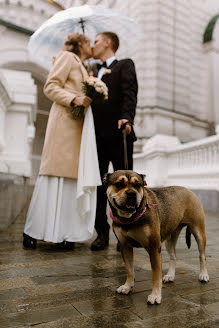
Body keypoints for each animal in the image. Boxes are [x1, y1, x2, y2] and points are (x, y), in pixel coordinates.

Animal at [103, 170, 210, 304]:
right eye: (119, 184)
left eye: (138, 185)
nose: (132, 193)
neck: (130, 217)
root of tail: (188, 190)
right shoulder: (125, 246)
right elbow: (129, 270)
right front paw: (127, 286)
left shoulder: (154, 247)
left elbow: (155, 274)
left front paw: (155, 295)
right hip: (169, 239)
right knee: (173, 256)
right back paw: (170, 275)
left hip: (198, 231)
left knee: (202, 255)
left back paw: (204, 275)